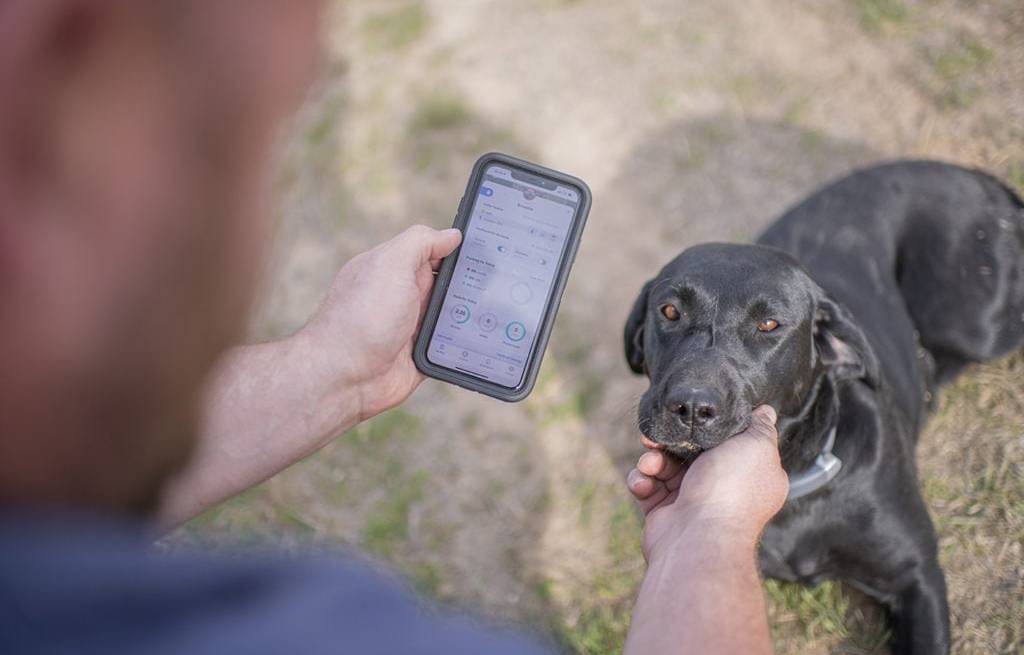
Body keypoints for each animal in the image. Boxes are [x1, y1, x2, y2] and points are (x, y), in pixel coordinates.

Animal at [622, 159, 1024, 655]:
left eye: (768, 324)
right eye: (670, 311)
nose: (692, 407)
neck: (795, 480)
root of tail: (975, 176)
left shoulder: (917, 576)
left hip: (974, 323)